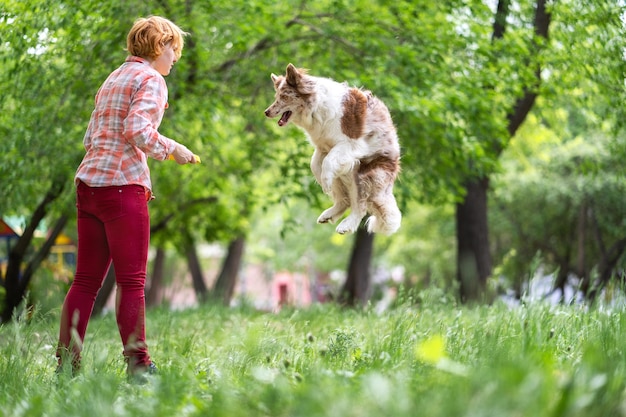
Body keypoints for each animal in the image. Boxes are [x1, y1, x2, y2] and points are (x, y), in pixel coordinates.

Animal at [264, 63, 400, 236]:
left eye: (284, 97)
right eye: (277, 96)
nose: (266, 112)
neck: (316, 108)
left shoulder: (349, 144)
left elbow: (328, 163)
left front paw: (326, 183)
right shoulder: (322, 148)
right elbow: (315, 165)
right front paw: (323, 181)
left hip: (365, 175)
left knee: (360, 205)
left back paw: (346, 225)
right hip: (346, 173)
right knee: (345, 200)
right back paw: (328, 215)